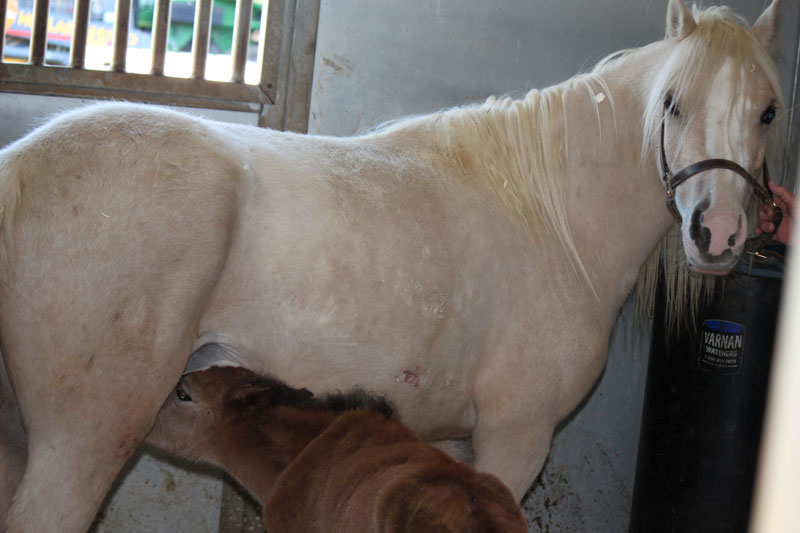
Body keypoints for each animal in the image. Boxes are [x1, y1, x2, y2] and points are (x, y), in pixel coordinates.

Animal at [0, 1, 784, 528]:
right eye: (673, 103)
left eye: (770, 112)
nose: (717, 231)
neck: (552, 217)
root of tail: (18, 170)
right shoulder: (516, 439)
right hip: (83, 446)